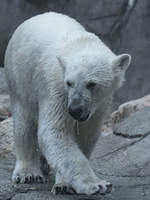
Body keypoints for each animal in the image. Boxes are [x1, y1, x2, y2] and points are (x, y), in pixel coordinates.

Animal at [4, 11, 130, 195]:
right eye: (69, 83)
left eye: (92, 84)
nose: (75, 109)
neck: (81, 44)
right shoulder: (56, 90)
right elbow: (55, 131)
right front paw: (97, 185)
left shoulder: (100, 104)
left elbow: (87, 133)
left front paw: (65, 183)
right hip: (19, 77)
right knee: (24, 124)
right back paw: (28, 173)